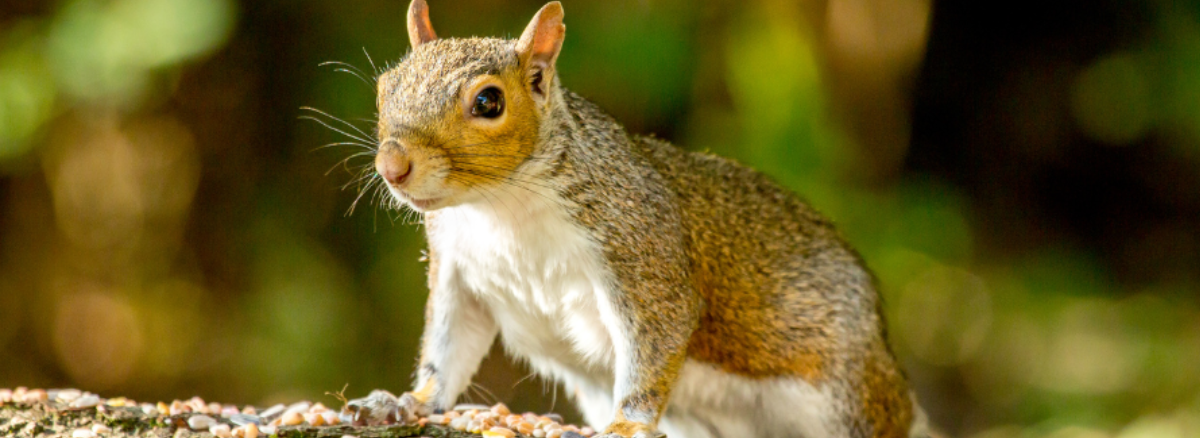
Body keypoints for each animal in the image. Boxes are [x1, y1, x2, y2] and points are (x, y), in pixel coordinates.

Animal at [341, 1, 930, 437]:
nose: (393, 167)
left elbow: (657, 340)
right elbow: (447, 353)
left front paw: (628, 423)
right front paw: (403, 403)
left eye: (489, 101)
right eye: (385, 87)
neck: (502, 207)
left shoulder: (641, 250)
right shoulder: (459, 272)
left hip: (849, 396)